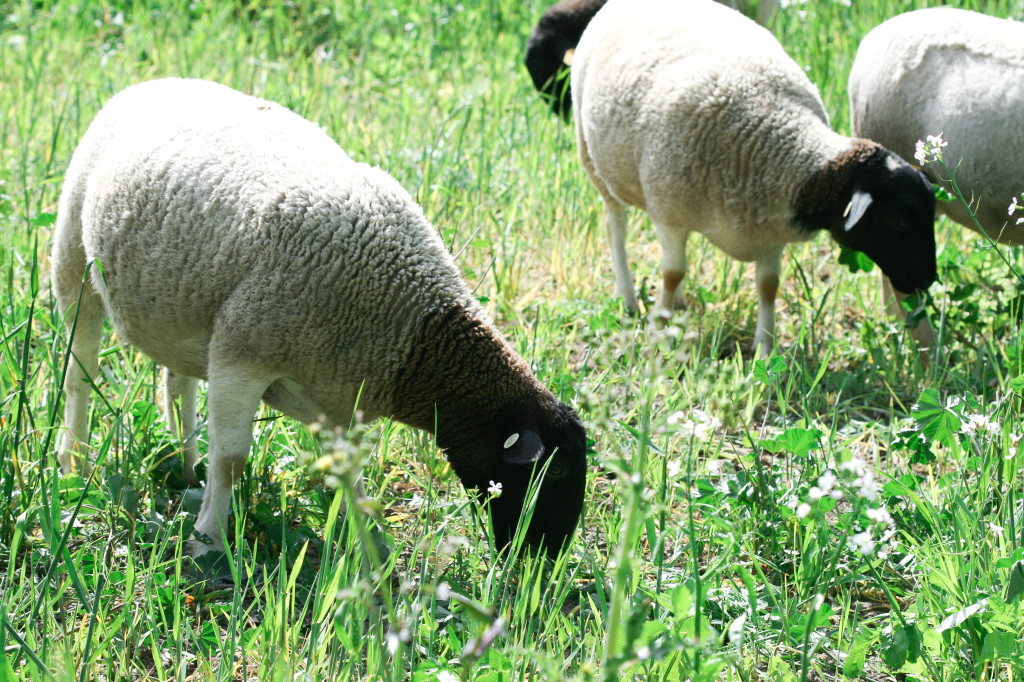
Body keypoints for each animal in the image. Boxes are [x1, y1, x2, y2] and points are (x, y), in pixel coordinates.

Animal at [51, 76, 589, 557]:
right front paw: (209, 542)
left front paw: (368, 547)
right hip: (74, 259)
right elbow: (231, 462)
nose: (544, 561)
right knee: (79, 375)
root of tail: (153, 81)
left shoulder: (336, 392)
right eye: (556, 472)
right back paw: (72, 462)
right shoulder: (242, 357)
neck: (407, 328)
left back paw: (186, 465)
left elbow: (349, 472)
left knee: (176, 381)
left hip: (180, 302)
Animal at [573, 0, 937, 356]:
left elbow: (767, 287)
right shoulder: (669, 214)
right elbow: (673, 272)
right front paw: (656, 333)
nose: (927, 279)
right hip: (592, 159)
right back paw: (628, 297)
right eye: (897, 222)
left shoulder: (769, 233)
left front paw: (765, 349)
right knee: (616, 227)